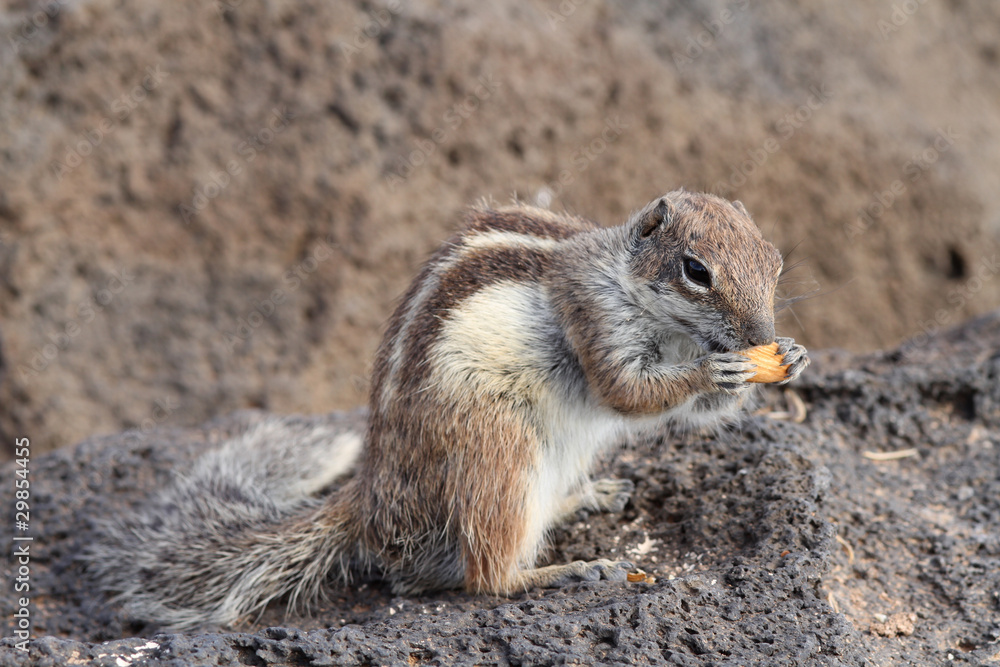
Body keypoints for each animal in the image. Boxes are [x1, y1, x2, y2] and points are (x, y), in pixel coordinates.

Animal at [88, 189, 809, 630]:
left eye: (776, 262)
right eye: (696, 270)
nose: (760, 333)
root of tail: (372, 500)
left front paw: (788, 358)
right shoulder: (592, 315)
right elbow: (624, 390)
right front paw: (714, 370)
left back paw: (585, 498)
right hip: (500, 450)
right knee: (486, 576)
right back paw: (565, 571)